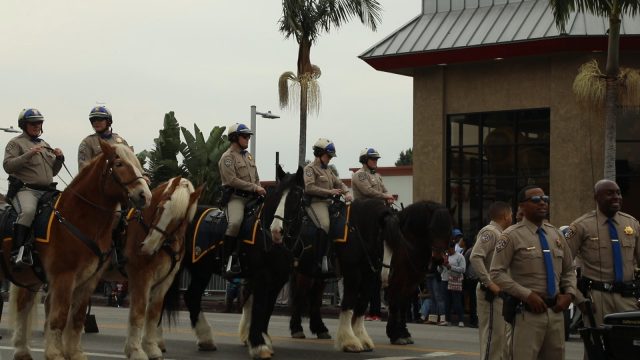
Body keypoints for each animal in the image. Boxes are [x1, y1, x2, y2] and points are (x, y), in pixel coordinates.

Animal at [4, 141, 151, 360]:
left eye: (138, 164)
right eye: (119, 164)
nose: (145, 195)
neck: (77, 217)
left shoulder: (88, 280)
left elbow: (77, 317)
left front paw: (74, 352)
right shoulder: (63, 277)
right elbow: (59, 315)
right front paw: (55, 353)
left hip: (30, 277)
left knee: (23, 305)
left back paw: (22, 350)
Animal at [100, 177, 202, 360]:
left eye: (178, 220)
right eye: (160, 208)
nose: (147, 246)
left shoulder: (164, 282)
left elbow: (153, 314)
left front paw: (151, 347)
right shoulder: (141, 278)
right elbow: (139, 313)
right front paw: (135, 350)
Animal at [162, 165, 304, 358]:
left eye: (296, 195)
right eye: (276, 195)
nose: (277, 231)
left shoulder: (278, 280)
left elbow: (267, 309)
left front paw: (263, 339)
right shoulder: (261, 276)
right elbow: (259, 307)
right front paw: (259, 345)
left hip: (201, 270)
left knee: (192, 296)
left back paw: (205, 339)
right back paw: (156, 342)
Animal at [268, 194, 450, 352]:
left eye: (449, 228)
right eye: (433, 228)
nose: (439, 260)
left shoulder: (403, 280)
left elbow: (384, 305)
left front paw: (398, 333)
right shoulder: (368, 276)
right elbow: (379, 304)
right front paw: (389, 335)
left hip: (318, 275)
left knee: (315, 299)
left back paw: (319, 329)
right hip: (304, 274)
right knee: (300, 296)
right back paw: (297, 328)